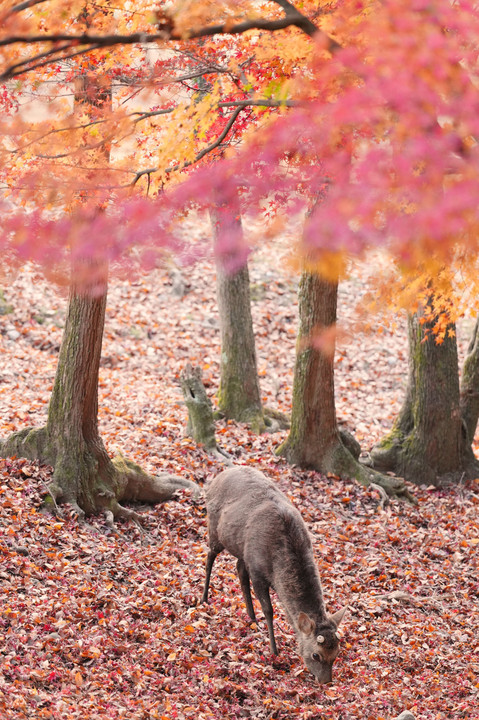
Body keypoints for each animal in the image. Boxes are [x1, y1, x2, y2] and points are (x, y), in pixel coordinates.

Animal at [201, 466, 346, 680]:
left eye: (336, 653)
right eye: (316, 655)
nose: (326, 682)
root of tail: (219, 475)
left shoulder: (252, 561)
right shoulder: (258, 570)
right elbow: (269, 610)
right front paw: (274, 650)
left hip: (242, 549)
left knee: (239, 568)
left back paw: (252, 618)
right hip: (215, 529)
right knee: (209, 557)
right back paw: (204, 598)